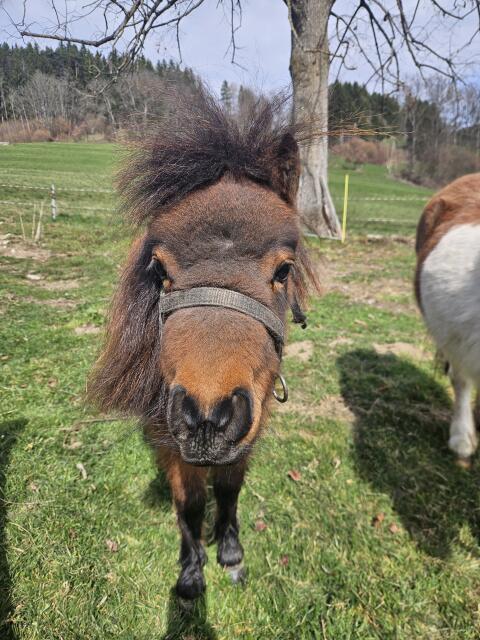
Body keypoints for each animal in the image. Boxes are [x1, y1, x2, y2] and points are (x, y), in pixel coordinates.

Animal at [90, 88, 318, 600]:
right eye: (159, 269)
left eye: (284, 270)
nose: (209, 417)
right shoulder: (170, 437)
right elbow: (191, 502)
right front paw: (192, 569)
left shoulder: (251, 425)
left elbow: (230, 489)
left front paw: (230, 552)